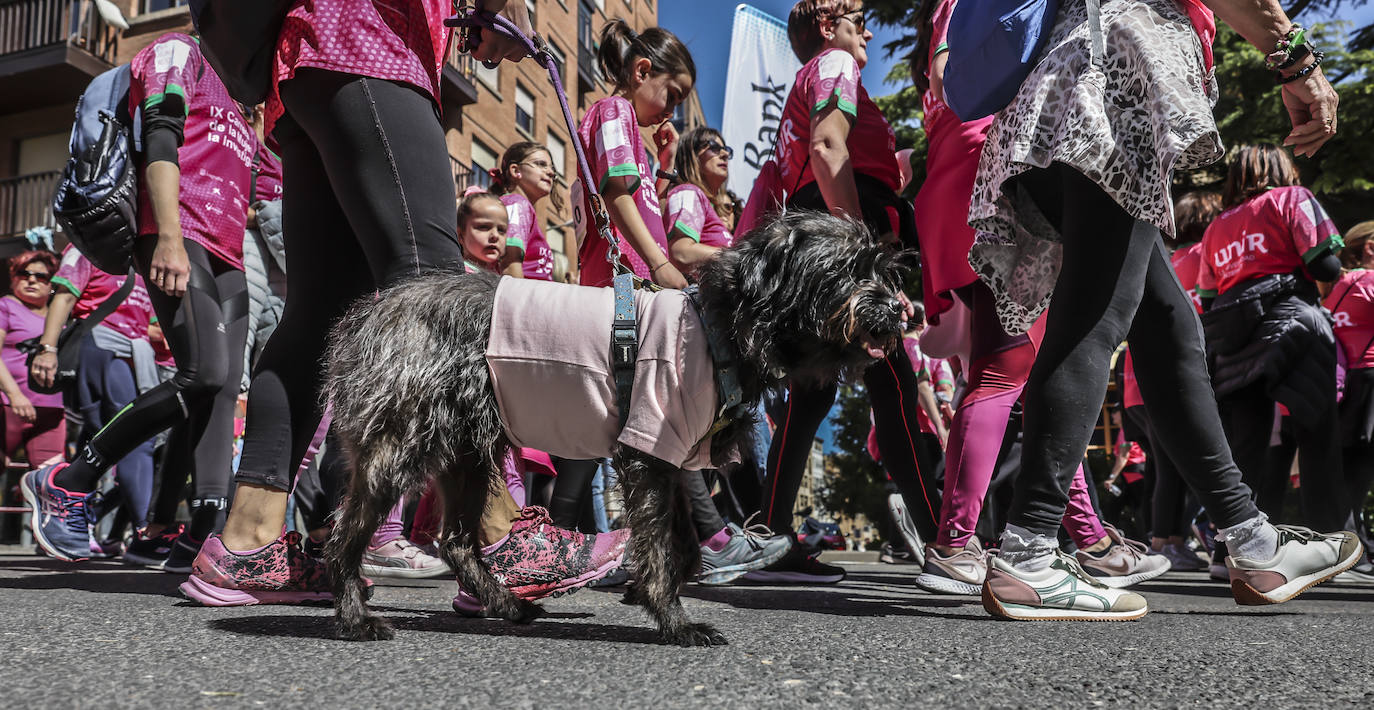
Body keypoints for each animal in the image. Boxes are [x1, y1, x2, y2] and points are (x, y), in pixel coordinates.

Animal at [322, 208, 912, 642]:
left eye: (879, 267)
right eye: (843, 270)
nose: (898, 310)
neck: (720, 325)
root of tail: (371, 314)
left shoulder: (674, 455)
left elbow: (679, 539)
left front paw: (652, 592)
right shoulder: (650, 448)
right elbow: (658, 541)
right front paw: (673, 620)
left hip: (467, 456)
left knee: (459, 543)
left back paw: (506, 604)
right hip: (396, 450)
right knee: (346, 534)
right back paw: (354, 615)